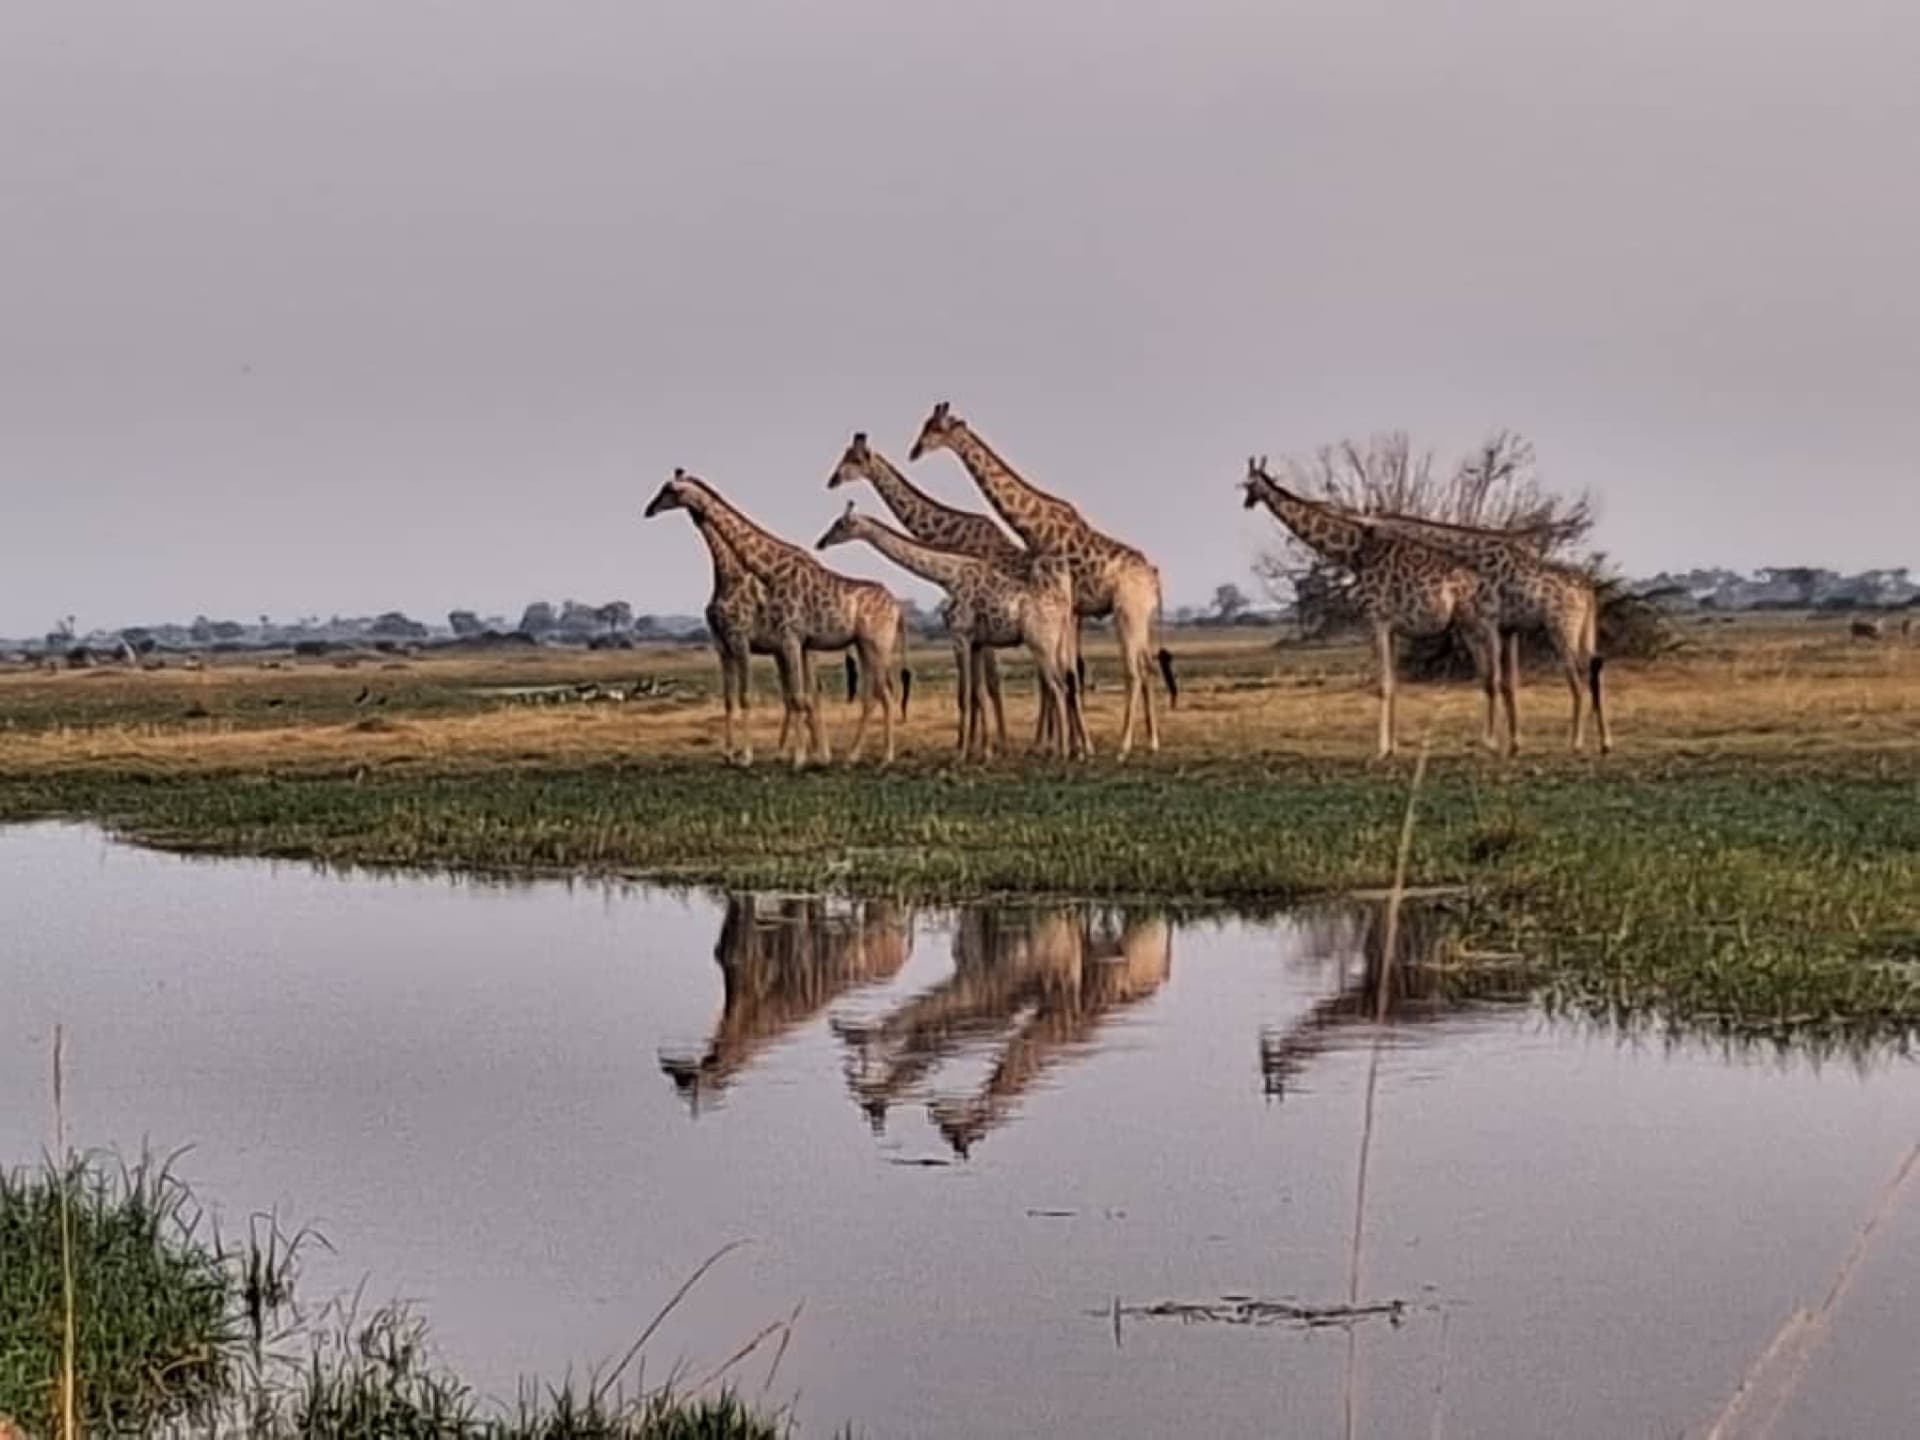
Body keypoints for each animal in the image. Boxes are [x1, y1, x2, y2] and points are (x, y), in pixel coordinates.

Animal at [645, 469, 907, 766]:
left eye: (669, 490)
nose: (649, 510)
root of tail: (897, 607)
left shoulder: (771, 639)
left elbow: (785, 697)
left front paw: (774, 758)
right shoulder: (737, 644)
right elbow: (749, 698)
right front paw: (737, 754)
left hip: (877, 644)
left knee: (882, 694)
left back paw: (881, 757)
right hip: (863, 646)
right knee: (869, 696)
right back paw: (849, 757)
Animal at [815, 502, 1089, 760]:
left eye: (841, 524)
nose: (821, 542)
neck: (948, 575)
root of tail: (1063, 608)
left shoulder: (959, 636)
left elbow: (964, 695)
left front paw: (961, 754)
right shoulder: (976, 642)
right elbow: (978, 693)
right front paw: (984, 751)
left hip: (1040, 643)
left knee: (1057, 686)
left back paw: (1062, 751)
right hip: (1057, 643)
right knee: (1064, 683)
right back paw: (1069, 749)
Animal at [909, 403, 1177, 757]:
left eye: (935, 428)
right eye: (925, 425)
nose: (914, 451)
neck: (1036, 529)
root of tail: (1154, 576)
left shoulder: (1068, 606)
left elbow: (1064, 673)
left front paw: (1068, 746)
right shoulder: (1069, 610)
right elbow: (1065, 673)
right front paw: (1068, 745)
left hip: (1126, 612)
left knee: (1133, 670)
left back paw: (1123, 747)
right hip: (1141, 615)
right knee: (1145, 666)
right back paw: (1152, 742)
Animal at [1242, 457, 1504, 758]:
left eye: (1249, 484)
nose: (1246, 503)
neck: (1355, 552)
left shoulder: (1376, 619)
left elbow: (1383, 685)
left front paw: (1381, 750)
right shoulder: (1391, 626)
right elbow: (1393, 684)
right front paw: (1393, 746)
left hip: (1478, 620)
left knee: (1492, 673)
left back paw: (1494, 741)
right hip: (1466, 624)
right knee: (1486, 674)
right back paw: (1488, 740)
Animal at [1334, 509, 1612, 754]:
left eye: (1371, 530)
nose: (1361, 558)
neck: (1471, 556)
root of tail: (1588, 591)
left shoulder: (1488, 621)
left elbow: (1494, 680)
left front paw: (1495, 742)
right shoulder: (1506, 628)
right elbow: (1506, 683)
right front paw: (1511, 745)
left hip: (1562, 628)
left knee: (1577, 677)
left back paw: (1577, 743)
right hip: (1582, 629)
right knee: (1594, 665)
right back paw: (1604, 742)